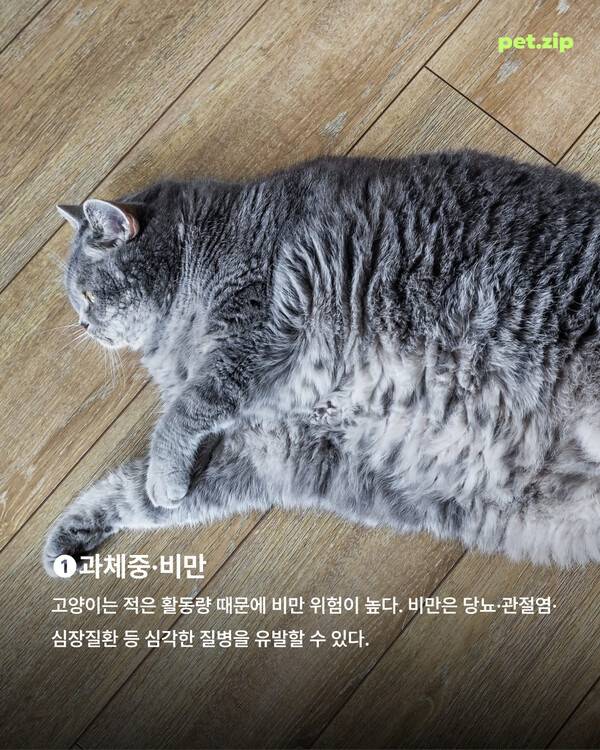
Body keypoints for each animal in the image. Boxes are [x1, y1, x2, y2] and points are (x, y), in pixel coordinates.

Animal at [43, 150, 600, 573]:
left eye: (87, 296)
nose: (83, 326)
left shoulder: (257, 329)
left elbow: (183, 414)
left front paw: (164, 476)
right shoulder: (261, 449)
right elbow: (131, 492)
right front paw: (72, 533)